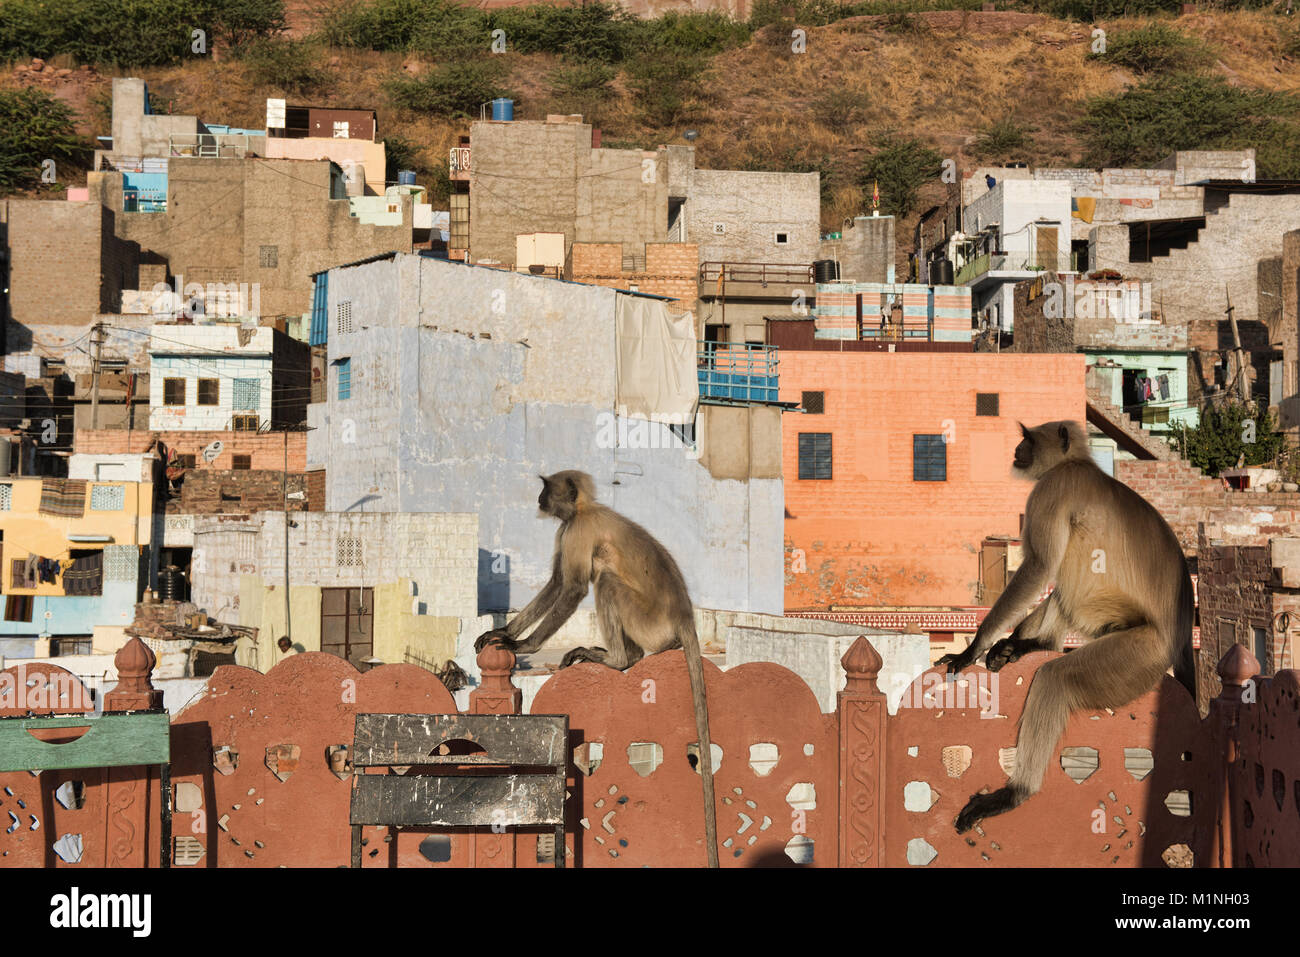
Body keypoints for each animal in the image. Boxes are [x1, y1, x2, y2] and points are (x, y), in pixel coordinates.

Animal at [475, 470, 722, 868]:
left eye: (546, 488)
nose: (539, 499)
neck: (583, 510)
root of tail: (685, 615)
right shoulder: (567, 530)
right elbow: (556, 583)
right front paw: (505, 633)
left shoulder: (576, 530)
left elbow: (572, 587)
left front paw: (522, 645)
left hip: (646, 620)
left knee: (604, 578)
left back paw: (620, 659)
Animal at [935, 421, 1196, 832]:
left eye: (1028, 438)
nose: (1018, 450)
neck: (1078, 464)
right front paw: (1005, 645)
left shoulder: (1053, 488)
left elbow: (1039, 566)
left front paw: (971, 649)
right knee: (1062, 589)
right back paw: (1029, 645)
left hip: (1139, 654)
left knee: (1056, 677)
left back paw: (1014, 793)